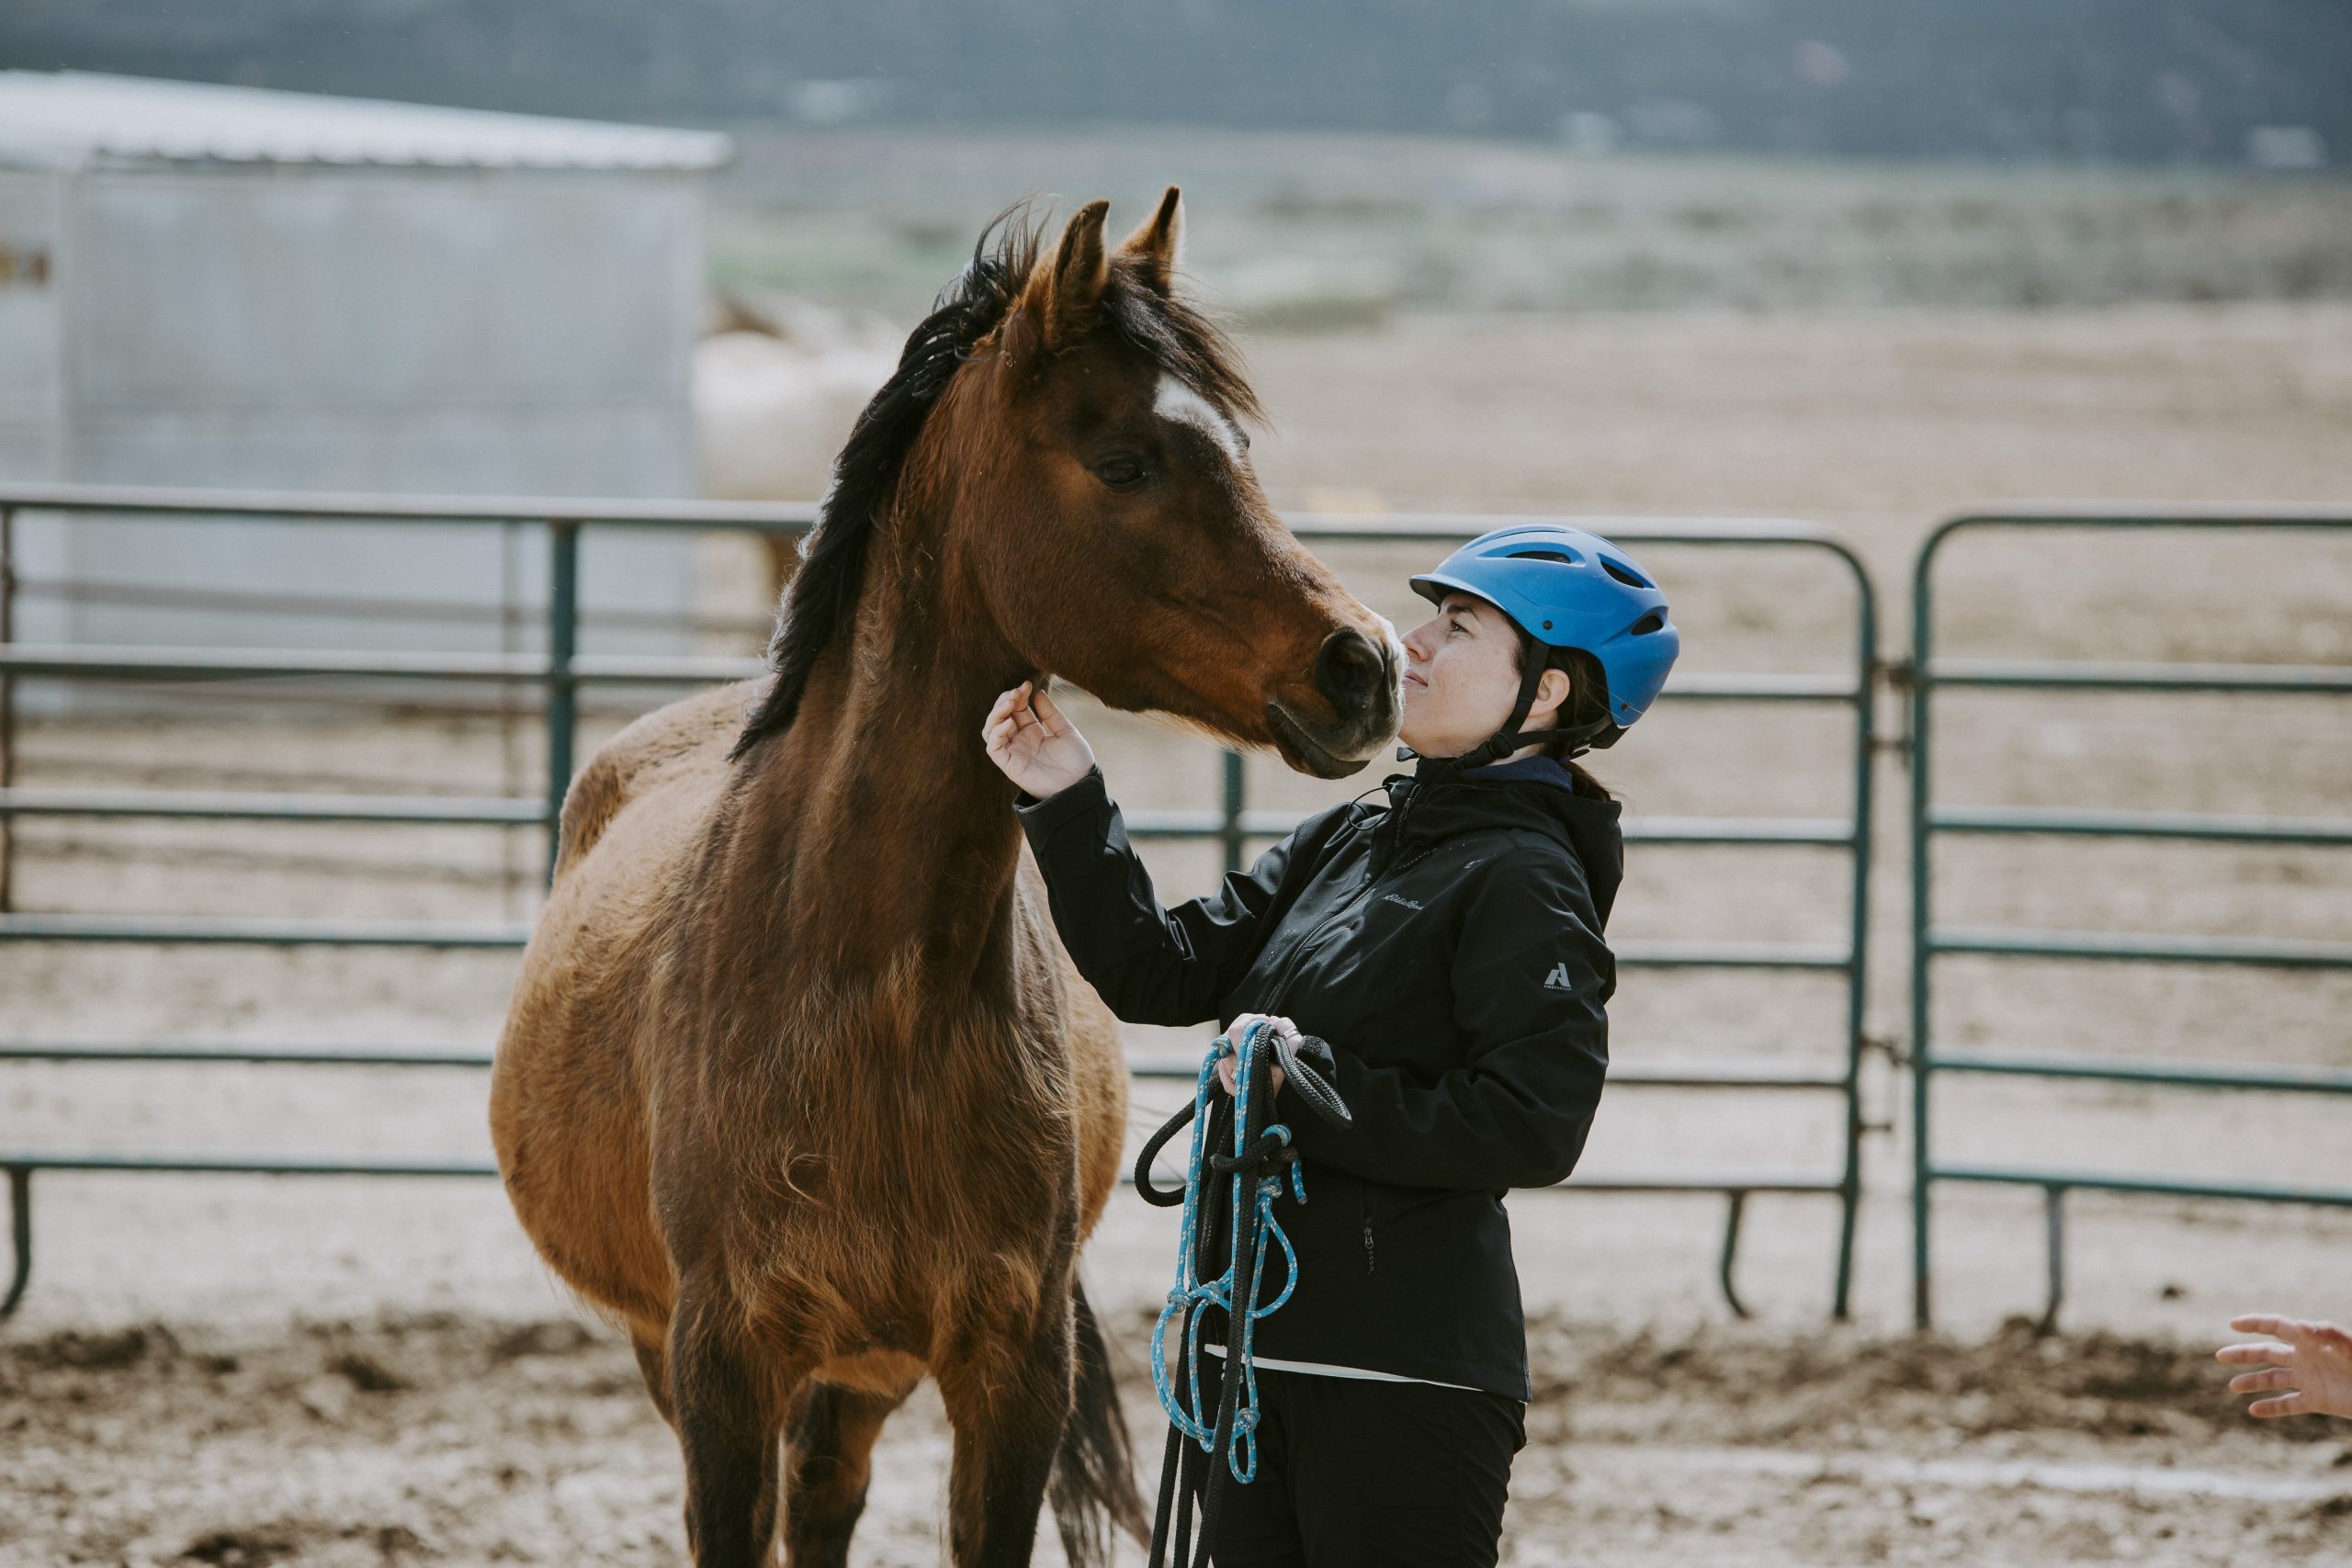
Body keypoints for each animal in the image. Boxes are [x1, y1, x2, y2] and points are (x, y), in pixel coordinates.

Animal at [488, 189, 1404, 1568]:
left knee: (828, 1494)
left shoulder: (1009, 1367)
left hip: (865, 1369)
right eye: (1125, 461)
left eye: (1236, 444)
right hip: (697, 1354)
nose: (1364, 667)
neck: (866, 988)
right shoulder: (721, 1365)